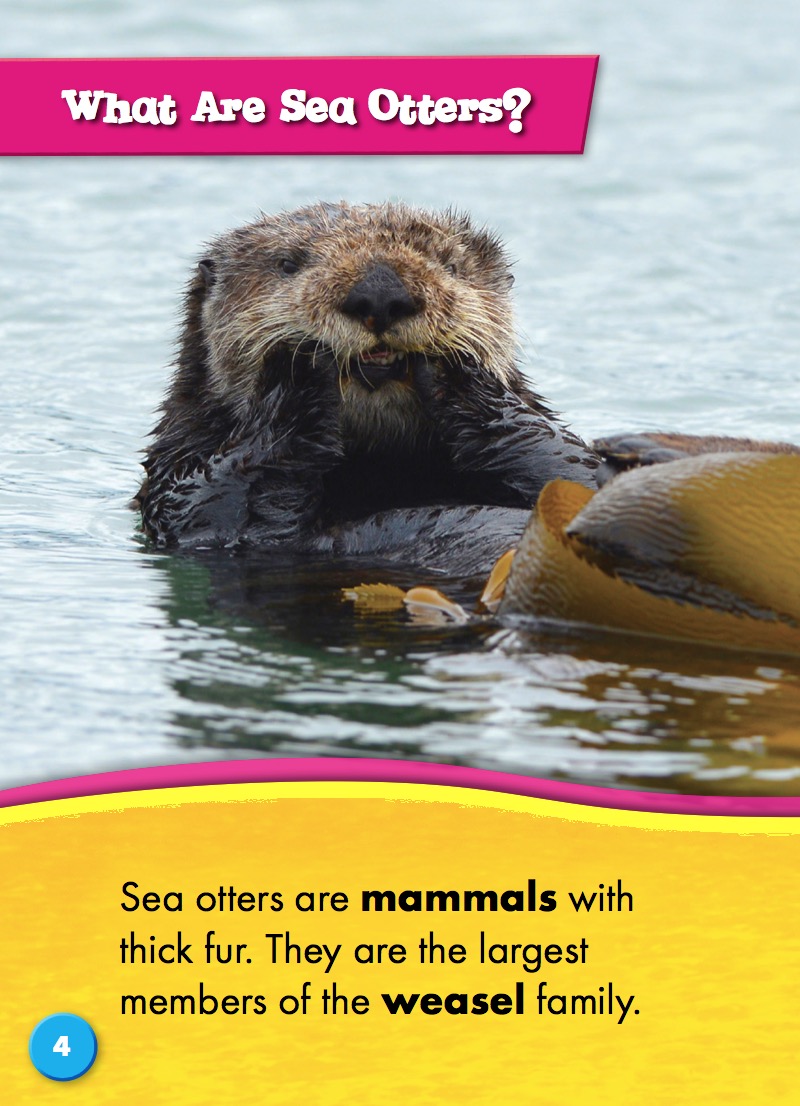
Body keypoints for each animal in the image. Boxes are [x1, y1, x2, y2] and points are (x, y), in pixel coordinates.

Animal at [137, 201, 599, 574]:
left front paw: (457, 368)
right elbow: (215, 505)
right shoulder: (176, 484)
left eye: (449, 265)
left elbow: (581, 474)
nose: (380, 292)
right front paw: (298, 365)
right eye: (288, 264)